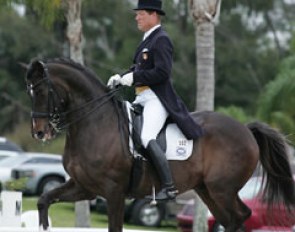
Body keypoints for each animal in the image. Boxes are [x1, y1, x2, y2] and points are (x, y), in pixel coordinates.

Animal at [24, 59, 294, 232]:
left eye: (42, 91)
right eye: (30, 92)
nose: (39, 132)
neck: (94, 123)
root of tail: (246, 129)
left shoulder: (114, 192)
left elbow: (115, 227)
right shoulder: (84, 187)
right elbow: (43, 200)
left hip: (223, 188)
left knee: (240, 217)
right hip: (207, 190)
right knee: (230, 221)